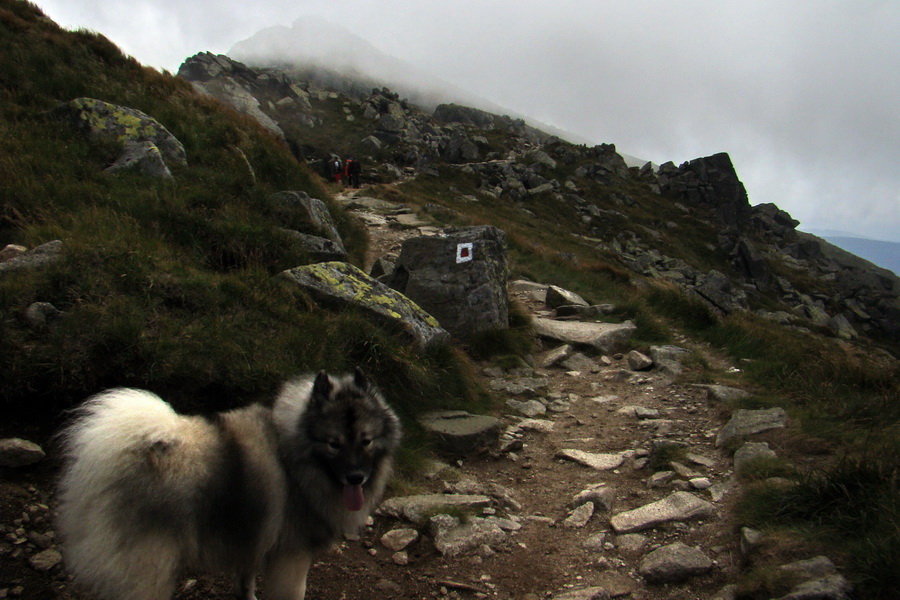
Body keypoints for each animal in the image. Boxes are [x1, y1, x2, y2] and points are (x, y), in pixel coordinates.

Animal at [58, 370, 402, 600]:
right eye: (334, 444)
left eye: (366, 441)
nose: (356, 477)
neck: (293, 454)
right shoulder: (291, 556)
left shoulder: (251, 537)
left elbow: (245, 580)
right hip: (149, 568)